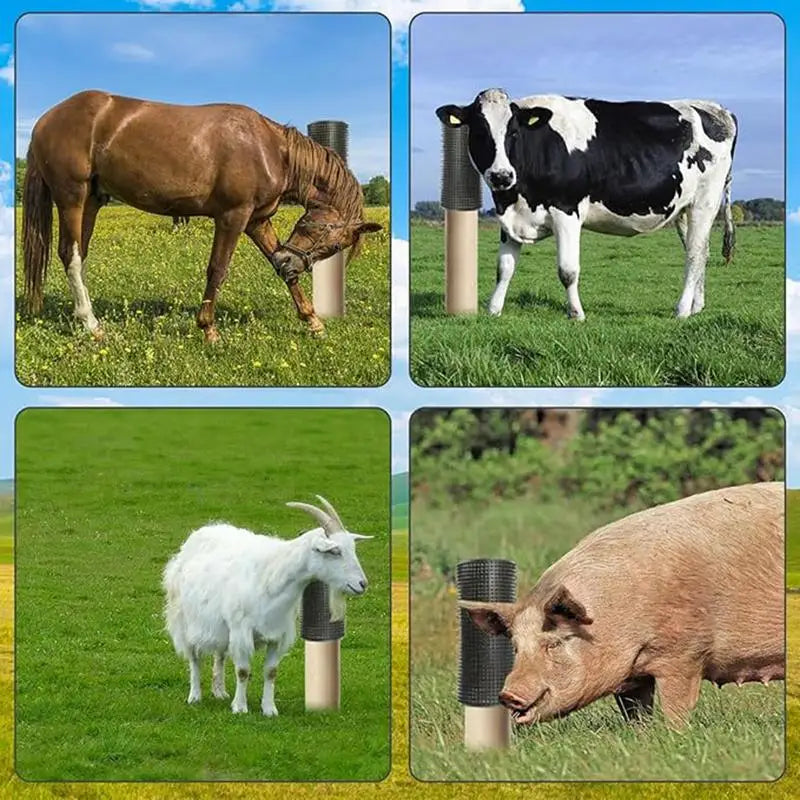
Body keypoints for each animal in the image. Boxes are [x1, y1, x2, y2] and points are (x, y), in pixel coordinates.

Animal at [162, 495, 372, 715]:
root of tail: (201, 532)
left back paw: (219, 691)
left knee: (219, 655)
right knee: (194, 658)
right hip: (185, 620)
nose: (362, 584)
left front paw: (269, 709)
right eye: (335, 551)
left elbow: (271, 672)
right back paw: (195, 696)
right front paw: (240, 707)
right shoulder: (241, 631)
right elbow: (243, 671)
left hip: (221, 627)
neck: (273, 576)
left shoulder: (277, 634)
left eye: (353, 548)